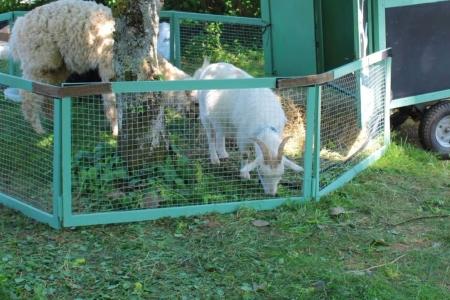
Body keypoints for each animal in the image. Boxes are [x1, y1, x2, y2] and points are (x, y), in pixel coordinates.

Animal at [8, 0, 188, 135]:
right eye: (193, 101)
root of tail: (18, 26)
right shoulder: (110, 70)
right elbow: (112, 103)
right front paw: (115, 131)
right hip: (39, 60)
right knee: (29, 96)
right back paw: (39, 129)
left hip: (57, 65)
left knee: (47, 92)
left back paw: (52, 122)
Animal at [192, 59, 302, 196]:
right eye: (261, 173)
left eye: (280, 175)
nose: (271, 194)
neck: (265, 125)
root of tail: (208, 67)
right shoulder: (243, 136)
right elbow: (245, 154)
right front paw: (244, 174)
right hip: (204, 114)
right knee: (210, 135)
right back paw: (215, 159)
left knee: (220, 133)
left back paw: (223, 153)